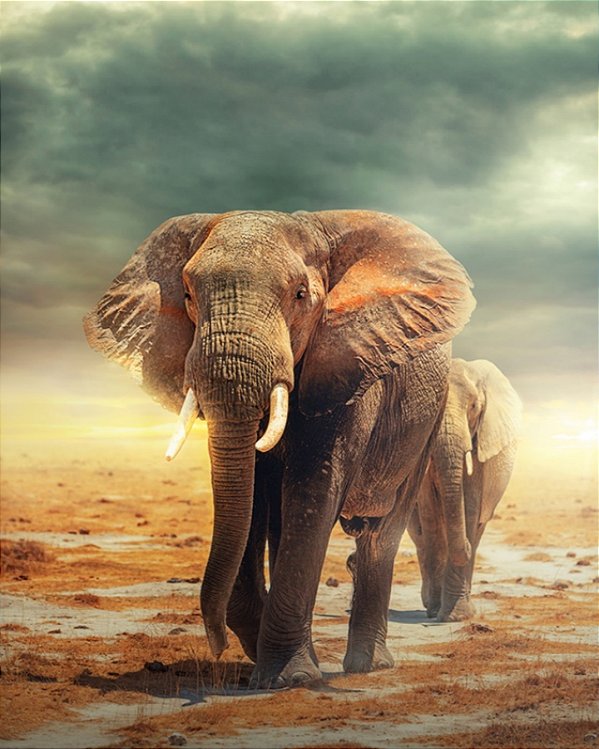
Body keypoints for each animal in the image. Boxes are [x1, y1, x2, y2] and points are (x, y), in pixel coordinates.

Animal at [84, 209, 475, 687]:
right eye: (189, 295)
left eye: (301, 295)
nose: (216, 646)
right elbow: (252, 494)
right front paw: (270, 659)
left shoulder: (351, 361)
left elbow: (313, 488)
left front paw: (290, 678)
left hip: (428, 417)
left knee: (381, 532)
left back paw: (368, 666)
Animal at [408, 358, 522, 622]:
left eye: (473, 406)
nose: (466, 547)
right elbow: (430, 510)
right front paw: (437, 611)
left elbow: (470, 503)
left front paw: (456, 616)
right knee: (420, 536)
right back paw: (430, 604)